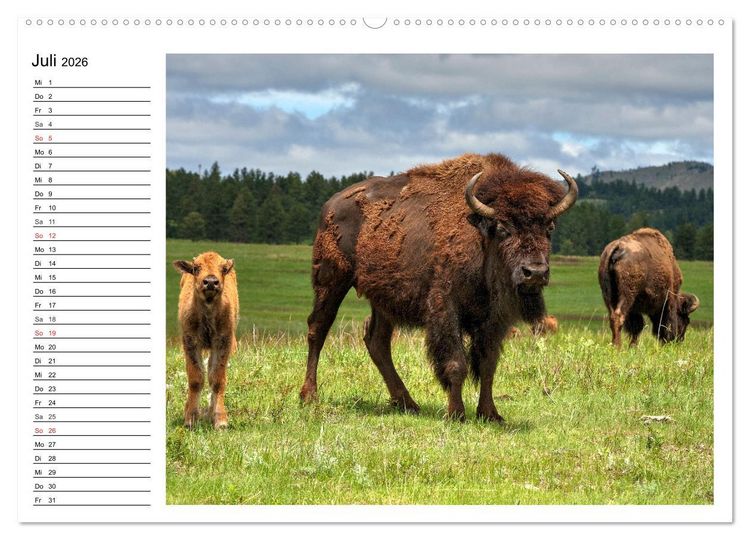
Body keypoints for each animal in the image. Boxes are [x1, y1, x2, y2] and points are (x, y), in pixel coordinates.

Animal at [300, 153, 577, 422]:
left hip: (383, 299)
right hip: (332, 279)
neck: (481, 235)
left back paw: (408, 403)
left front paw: (491, 414)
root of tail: (331, 204)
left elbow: (488, 364)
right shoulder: (445, 308)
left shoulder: (494, 319)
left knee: (377, 341)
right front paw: (456, 413)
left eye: (549, 227)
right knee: (318, 328)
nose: (535, 272)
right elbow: (456, 362)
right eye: (502, 227)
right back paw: (309, 396)